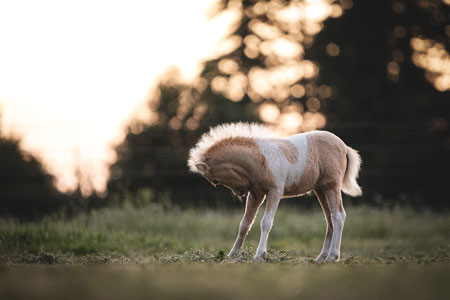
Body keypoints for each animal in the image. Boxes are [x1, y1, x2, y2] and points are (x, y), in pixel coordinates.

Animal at [187, 123, 362, 262]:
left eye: (215, 181)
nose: (240, 192)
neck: (260, 159)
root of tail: (345, 147)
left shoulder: (275, 192)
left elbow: (265, 223)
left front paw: (259, 255)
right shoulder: (256, 194)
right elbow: (244, 224)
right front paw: (231, 256)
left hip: (331, 185)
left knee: (338, 215)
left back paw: (333, 256)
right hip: (320, 189)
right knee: (329, 218)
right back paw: (320, 258)